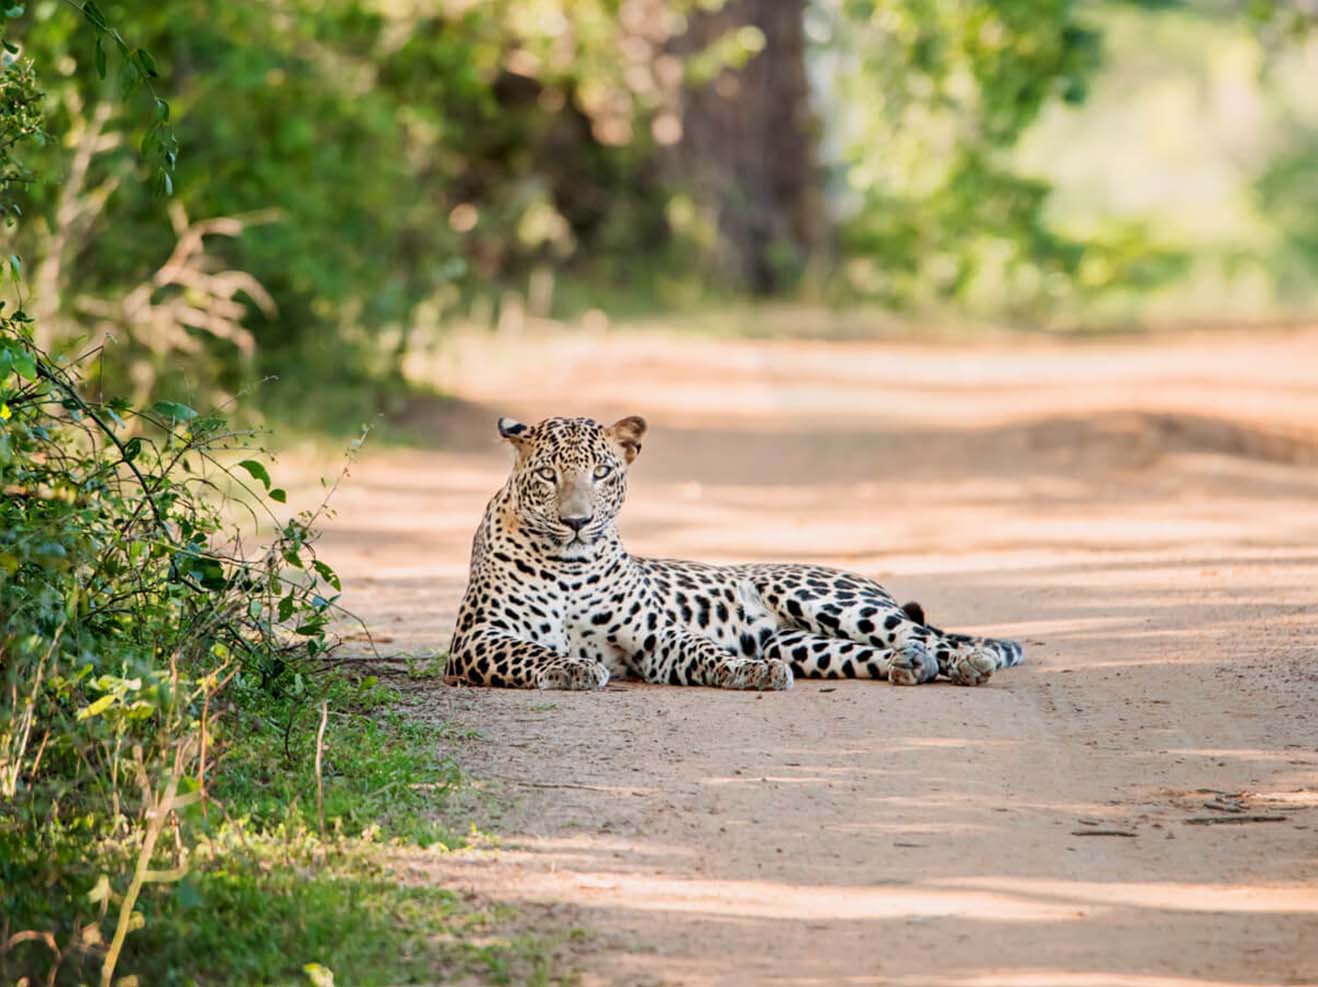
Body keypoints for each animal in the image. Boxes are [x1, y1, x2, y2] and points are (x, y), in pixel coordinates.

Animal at [447, 414, 1024, 691]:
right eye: (548, 475)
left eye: (602, 473)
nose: (576, 522)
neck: (569, 565)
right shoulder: (477, 637)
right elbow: (533, 651)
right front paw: (572, 668)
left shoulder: (656, 637)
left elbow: (706, 650)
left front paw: (750, 672)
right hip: (800, 643)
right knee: (882, 650)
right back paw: (909, 666)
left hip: (826, 598)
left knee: (927, 634)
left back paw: (968, 660)